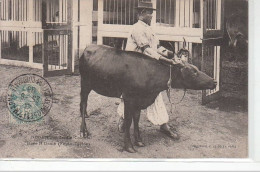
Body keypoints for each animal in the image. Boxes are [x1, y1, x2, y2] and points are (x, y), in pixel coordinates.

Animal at [79, 44, 217, 153]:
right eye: (193, 72)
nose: (214, 81)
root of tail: (87, 47)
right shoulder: (129, 98)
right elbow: (128, 121)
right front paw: (129, 146)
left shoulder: (139, 101)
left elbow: (136, 119)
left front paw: (139, 140)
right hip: (85, 83)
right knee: (83, 104)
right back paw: (83, 131)